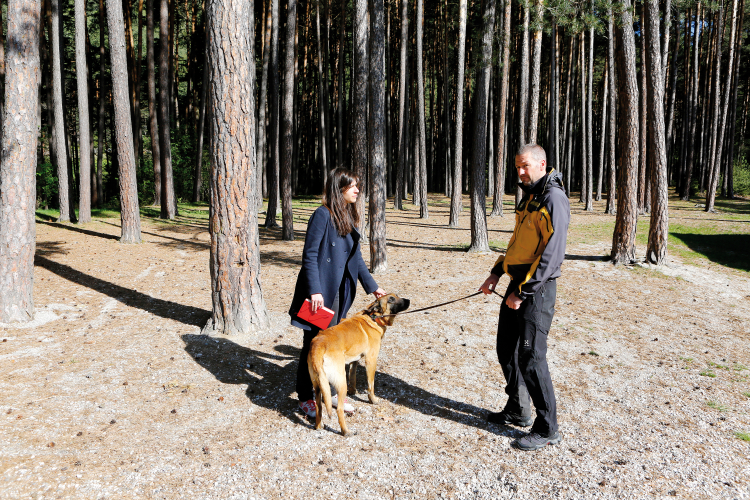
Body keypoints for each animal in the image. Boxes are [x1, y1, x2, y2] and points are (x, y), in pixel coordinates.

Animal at [306, 292, 412, 436]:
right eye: (391, 299)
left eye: (396, 295)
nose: (409, 300)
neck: (373, 317)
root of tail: (318, 344)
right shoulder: (371, 361)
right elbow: (371, 385)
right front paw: (373, 400)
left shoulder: (354, 360)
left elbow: (353, 376)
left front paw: (353, 391)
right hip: (340, 383)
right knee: (339, 409)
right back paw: (346, 431)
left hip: (318, 384)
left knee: (319, 405)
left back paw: (319, 425)